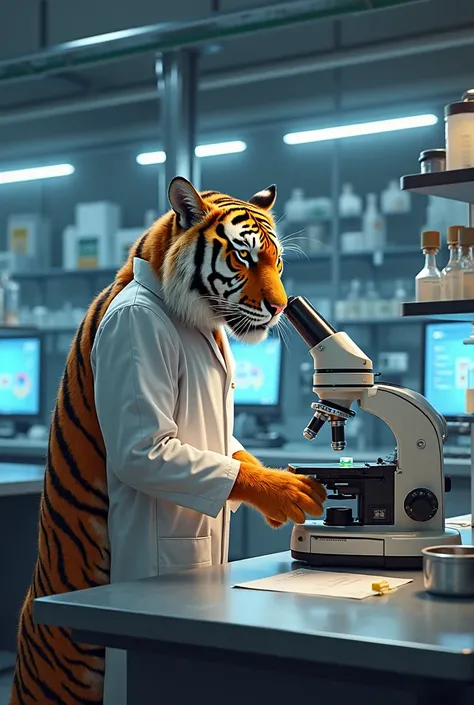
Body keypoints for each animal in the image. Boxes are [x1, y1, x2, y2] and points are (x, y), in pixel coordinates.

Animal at [10, 176, 326, 704]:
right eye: (244, 257)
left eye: (277, 260)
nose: (282, 307)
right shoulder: (140, 389)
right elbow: (152, 452)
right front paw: (285, 491)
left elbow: (235, 453)